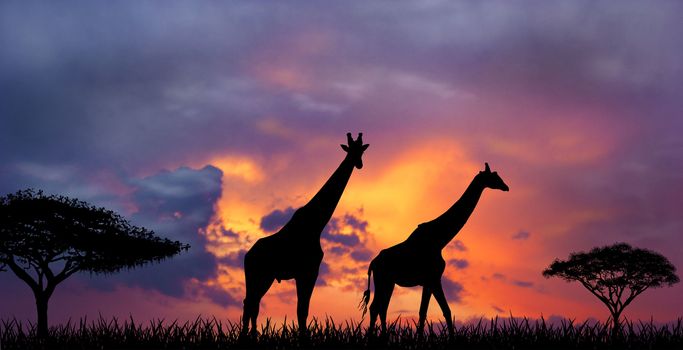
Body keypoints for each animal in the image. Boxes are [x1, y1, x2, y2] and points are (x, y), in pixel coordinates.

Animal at [240, 133, 368, 334]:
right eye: (350, 150)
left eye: (361, 150)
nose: (359, 164)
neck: (316, 224)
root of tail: (247, 255)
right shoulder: (308, 270)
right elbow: (302, 310)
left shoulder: (306, 271)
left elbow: (302, 309)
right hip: (258, 274)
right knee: (251, 302)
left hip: (264, 277)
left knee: (253, 302)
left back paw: (251, 335)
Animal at [360, 164, 510, 336]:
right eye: (494, 177)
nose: (506, 187)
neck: (440, 239)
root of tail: (372, 263)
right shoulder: (434, 278)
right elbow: (442, 311)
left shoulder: (429, 281)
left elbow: (428, 312)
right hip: (383, 279)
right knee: (375, 307)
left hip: (388, 282)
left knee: (381, 308)